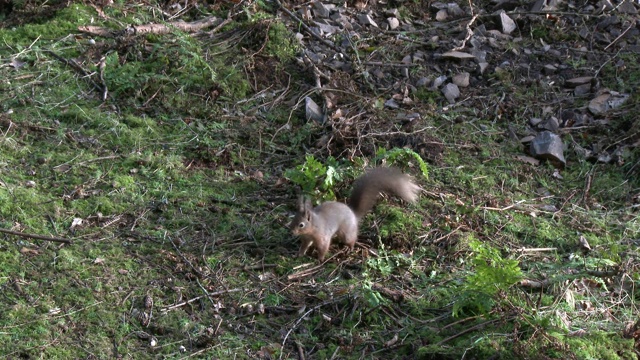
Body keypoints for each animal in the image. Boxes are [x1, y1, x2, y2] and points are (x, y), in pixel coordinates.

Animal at [288, 166, 420, 262]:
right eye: (293, 219)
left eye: (301, 224)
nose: (291, 232)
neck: (313, 226)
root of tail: (353, 214)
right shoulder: (306, 239)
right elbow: (304, 247)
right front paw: (299, 254)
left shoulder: (322, 237)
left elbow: (323, 248)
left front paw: (320, 259)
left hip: (346, 232)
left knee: (352, 239)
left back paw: (349, 248)